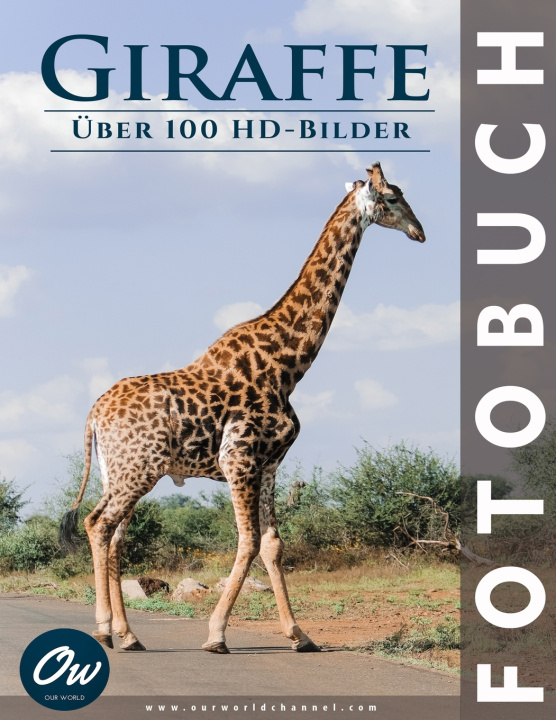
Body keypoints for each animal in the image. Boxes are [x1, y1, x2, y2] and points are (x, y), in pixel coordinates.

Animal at [60, 162, 425, 654]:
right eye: (391, 198)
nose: (419, 231)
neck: (290, 364)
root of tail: (94, 415)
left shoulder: (270, 463)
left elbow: (272, 544)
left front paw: (299, 635)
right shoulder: (239, 458)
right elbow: (247, 542)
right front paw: (216, 634)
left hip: (117, 472)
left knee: (113, 534)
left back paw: (120, 632)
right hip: (138, 470)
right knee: (99, 525)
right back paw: (115, 631)